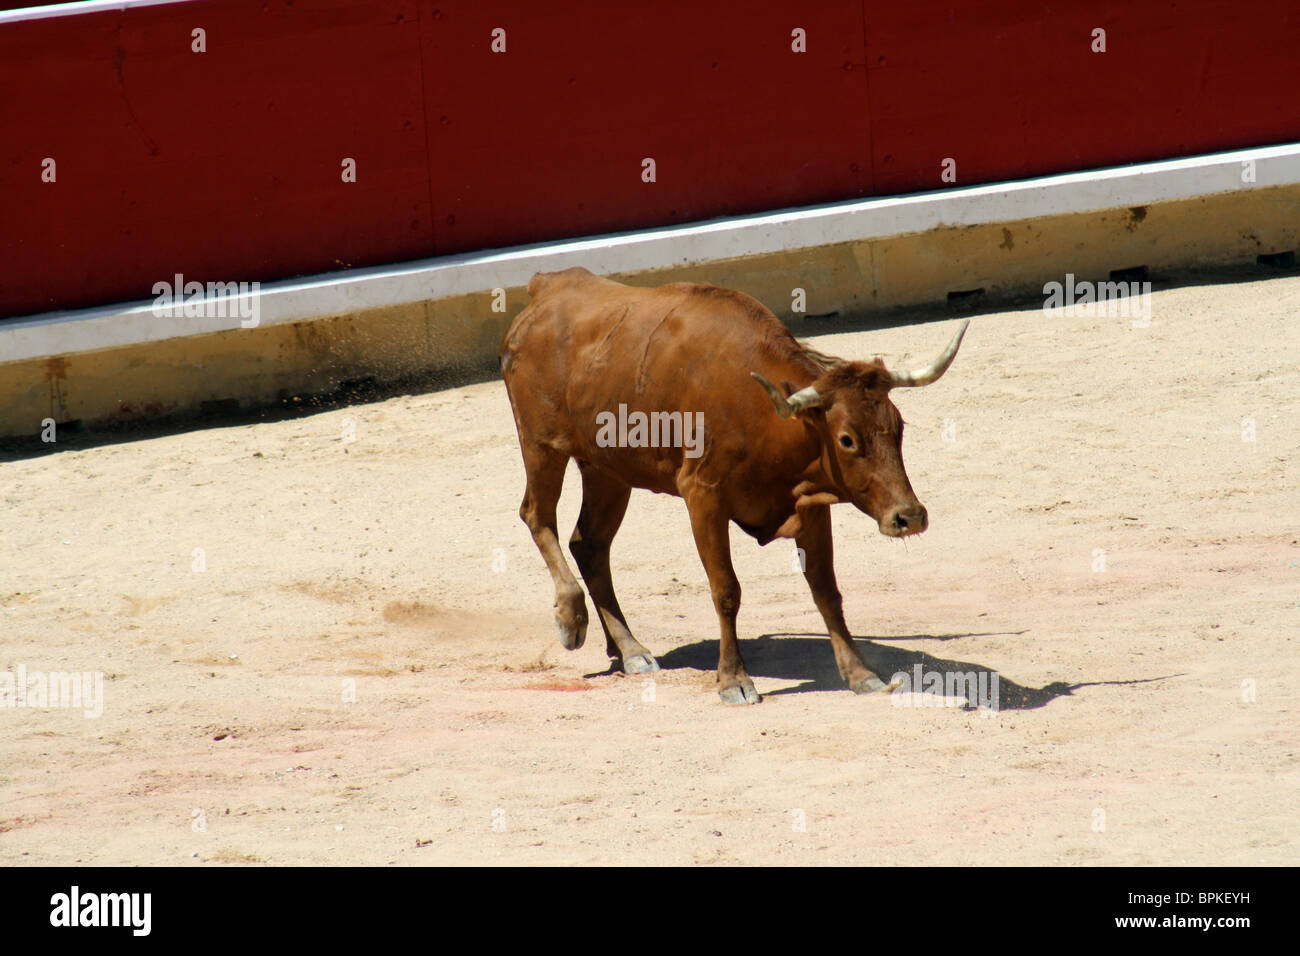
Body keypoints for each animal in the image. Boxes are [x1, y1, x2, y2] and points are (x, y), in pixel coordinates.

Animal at [501, 267, 972, 702]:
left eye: (898, 427)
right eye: (847, 439)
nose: (909, 516)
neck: (763, 412)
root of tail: (548, 285)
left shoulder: (807, 503)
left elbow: (826, 590)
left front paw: (859, 674)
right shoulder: (703, 497)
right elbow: (726, 589)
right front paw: (734, 680)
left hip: (608, 471)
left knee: (591, 544)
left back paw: (629, 650)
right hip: (542, 445)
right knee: (537, 517)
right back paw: (571, 618)